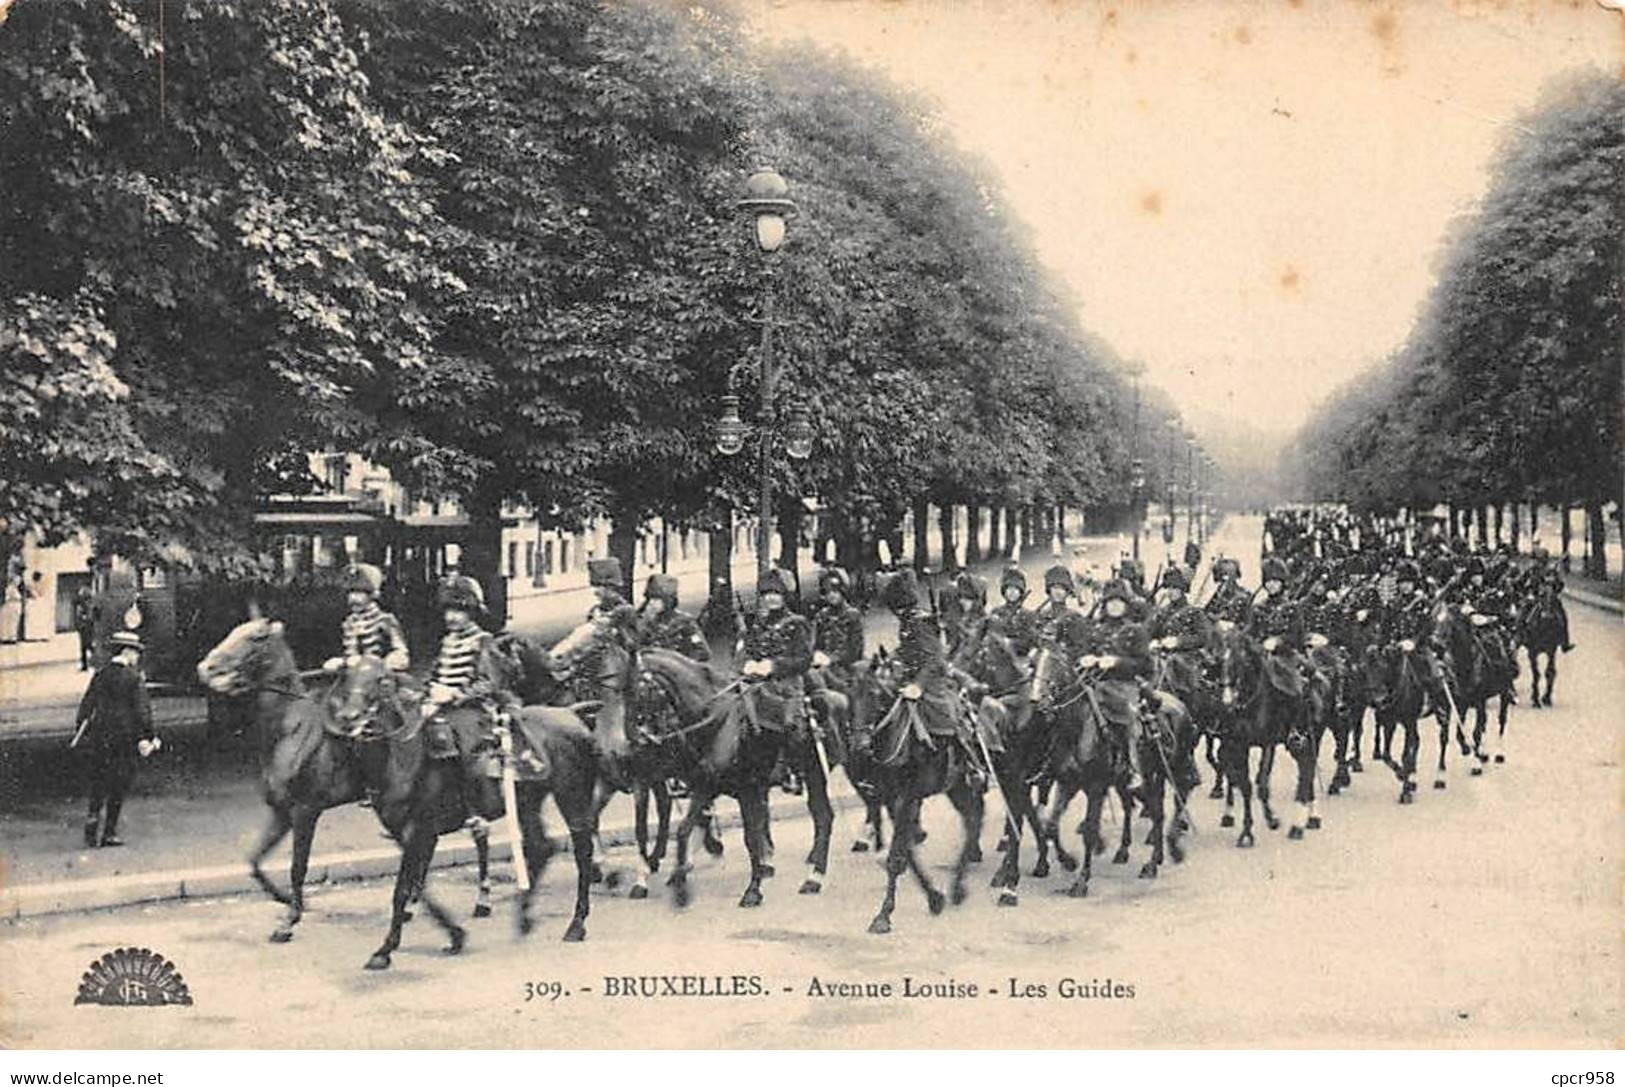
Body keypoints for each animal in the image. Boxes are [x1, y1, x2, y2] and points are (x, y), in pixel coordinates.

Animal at [192, 623, 490, 942]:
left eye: (255, 638)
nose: (206, 668)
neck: (290, 730)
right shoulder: (281, 812)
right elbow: (255, 862)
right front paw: (285, 900)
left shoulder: (305, 811)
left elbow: (298, 866)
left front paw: (290, 920)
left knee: (474, 838)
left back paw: (479, 902)